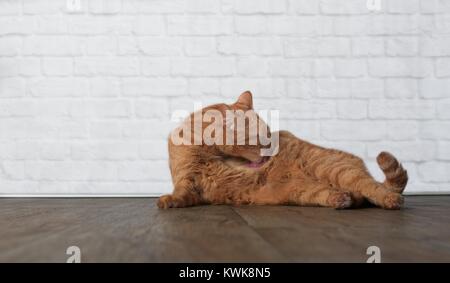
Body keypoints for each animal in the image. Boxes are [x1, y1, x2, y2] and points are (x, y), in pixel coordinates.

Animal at [160, 92, 410, 210]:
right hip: (302, 192)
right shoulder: (188, 181)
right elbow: (181, 193)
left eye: (269, 136)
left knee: (370, 186)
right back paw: (341, 198)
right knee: (349, 195)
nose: (268, 154)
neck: (202, 149)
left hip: (333, 168)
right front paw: (168, 201)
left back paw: (390, 199)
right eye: (258, 139)